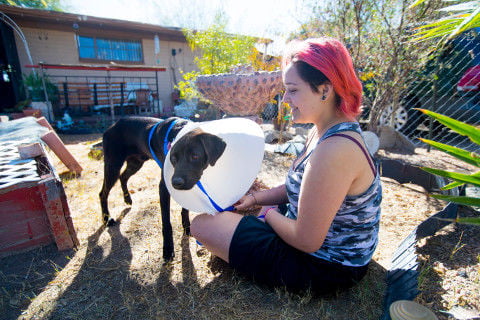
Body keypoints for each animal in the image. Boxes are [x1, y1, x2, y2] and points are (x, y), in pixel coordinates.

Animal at [100, 116, 227, 262]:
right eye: (172, 158)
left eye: (195, 156)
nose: (176, 183)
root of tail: (112, 126)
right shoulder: (164, 188)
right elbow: (166, 222)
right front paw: (168, 249)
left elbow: (185, 210)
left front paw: (187, 228)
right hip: (113, 165)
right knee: (103, 192)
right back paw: (107, 219)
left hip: (135, 162)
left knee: (123, 177)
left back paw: (127, 199)